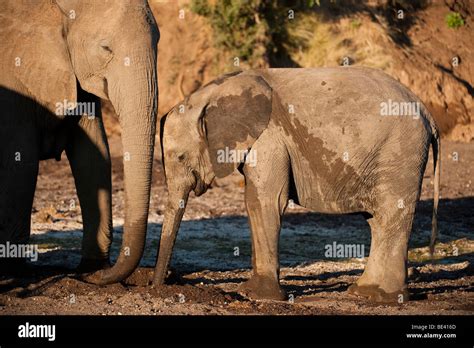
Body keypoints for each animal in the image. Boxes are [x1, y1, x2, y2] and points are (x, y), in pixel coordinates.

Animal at [0, 0, 159, 282]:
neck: (59, 7)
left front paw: (92, 268)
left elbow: (94, 157)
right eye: (106, 49)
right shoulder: (11, 78)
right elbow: (21, 163)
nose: (96, 280)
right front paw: (12, 273)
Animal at [156, 67, 440, 302]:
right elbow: (257, 202)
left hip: (400, 152)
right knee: (377, 221)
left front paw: (256, 295)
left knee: (390, 214)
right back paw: (364, 292)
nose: (159, 284)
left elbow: (264, 201)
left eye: (180, 157)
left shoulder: (269, 137)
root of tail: (428, 114)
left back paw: (382, 297)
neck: (212, 92)